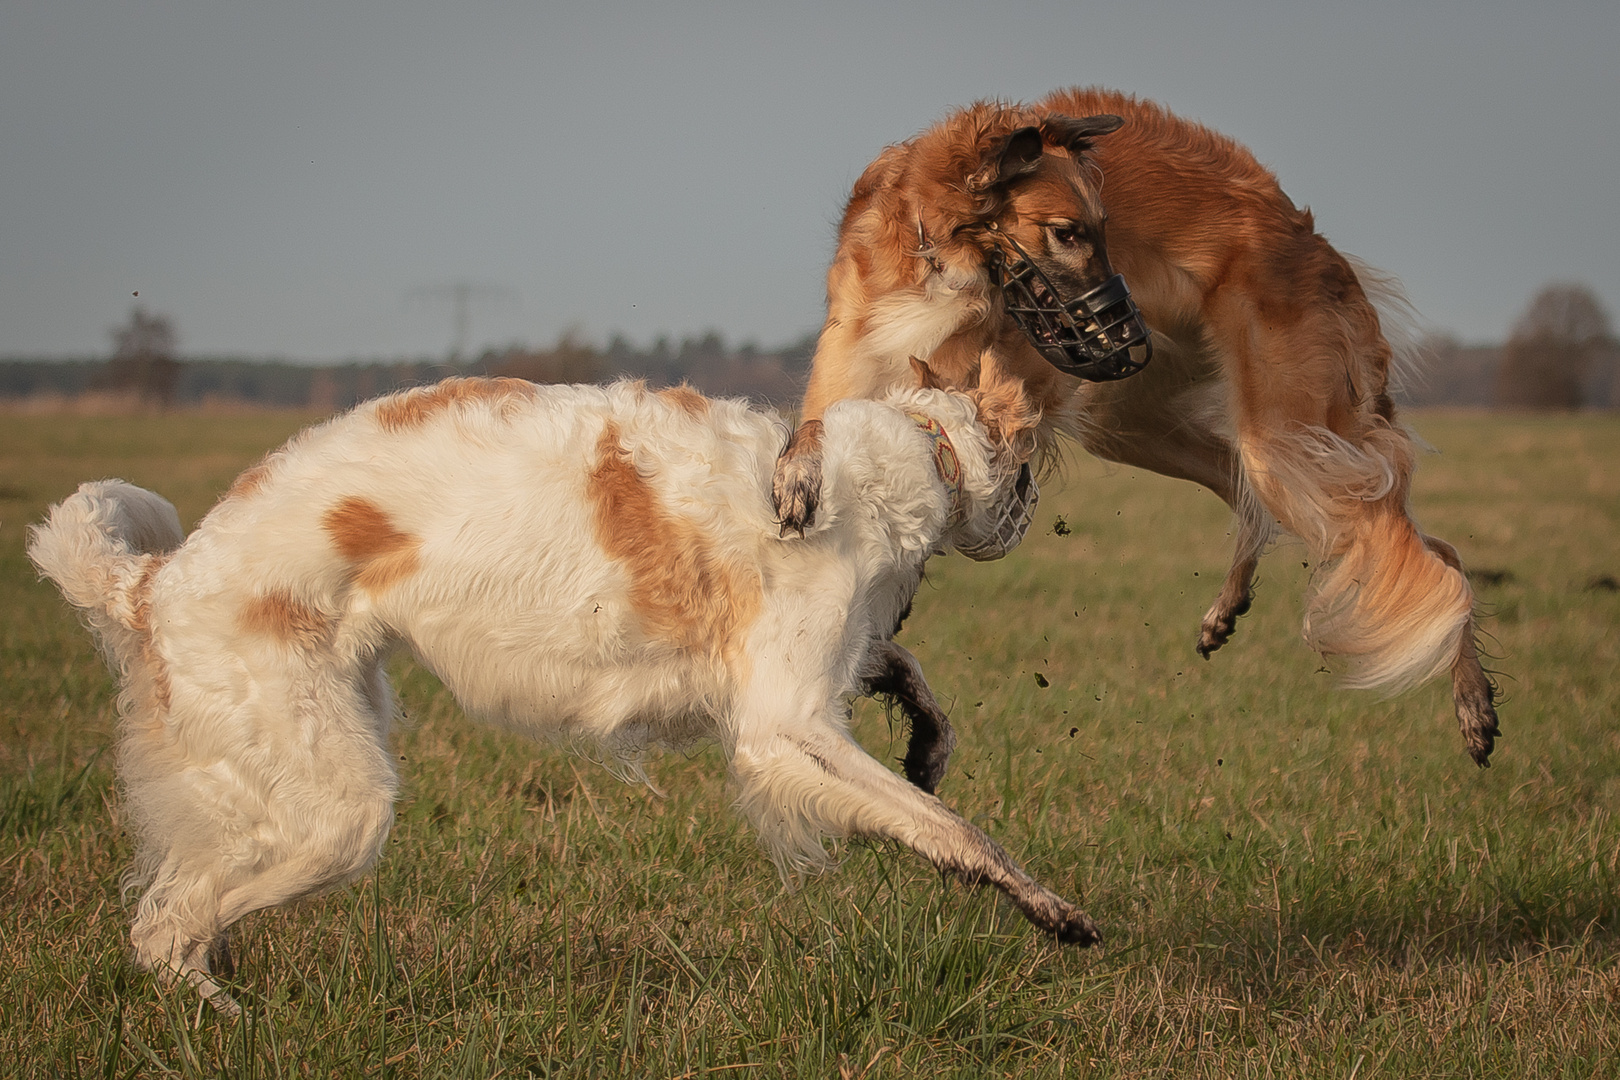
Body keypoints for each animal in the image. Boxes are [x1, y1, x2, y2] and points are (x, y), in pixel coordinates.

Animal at [25, 361, 1095, 1016]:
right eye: (1028, 470)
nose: (1033, 509)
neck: (903, 454)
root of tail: (153, 580)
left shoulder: (815, 675)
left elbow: (908, 687)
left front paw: (930, 741)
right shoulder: (783, 722)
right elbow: (952, 832)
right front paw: (1051, 910)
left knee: (174, 916)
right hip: (336, 812)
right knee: (162, 930)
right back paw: (236, 1018)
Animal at [777, 90, 1496, 767]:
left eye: (1105, 228)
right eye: (1066, 232)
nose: (1128, 335)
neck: (931, 256)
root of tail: (1306, 238)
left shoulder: (979, 397)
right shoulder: (853, 355)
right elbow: (811, 430)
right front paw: (797, 486)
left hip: (1284, 440)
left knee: (1434, 559)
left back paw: (1475, 706)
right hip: (1143, 425)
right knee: (1267, 503)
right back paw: (1227, 610)